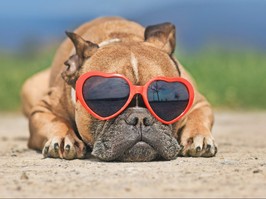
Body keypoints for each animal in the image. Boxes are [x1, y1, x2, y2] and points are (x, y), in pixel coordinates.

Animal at [20, 16, 216, 161]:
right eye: (107, 100)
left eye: (166, 102)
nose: (140, 118)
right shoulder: (42, 109)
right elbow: (54, 121)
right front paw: (63, 137)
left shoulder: (198, 102)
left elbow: (199, 116)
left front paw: (197, 137)